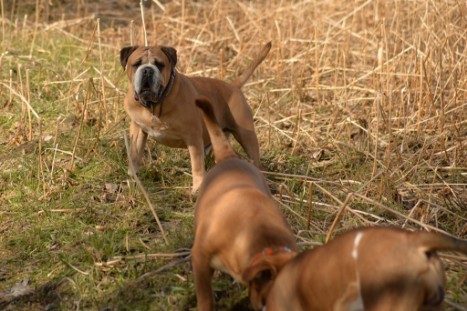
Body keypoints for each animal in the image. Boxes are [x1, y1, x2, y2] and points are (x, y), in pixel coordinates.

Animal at [119, 41, 270, 193]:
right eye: (136, 64)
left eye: (160, 65)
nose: (148, 70)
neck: (156, 105)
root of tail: (233, 86)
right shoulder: (138, 130)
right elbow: (134, 156)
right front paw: (132, 179)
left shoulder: (193, 137)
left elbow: (196, 165)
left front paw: (197, 189)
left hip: (246, 137)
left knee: (256, 161)